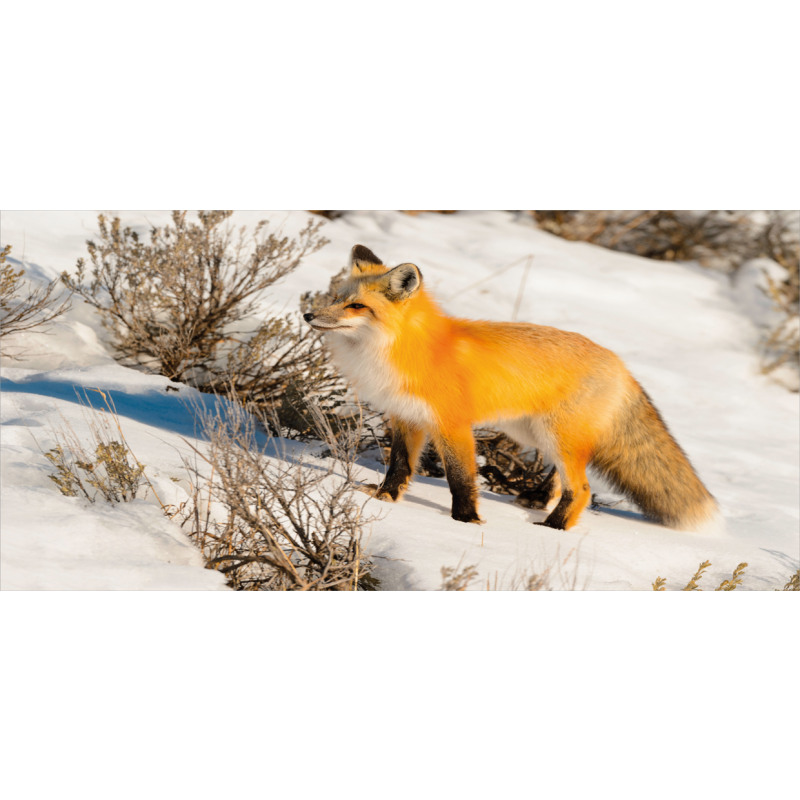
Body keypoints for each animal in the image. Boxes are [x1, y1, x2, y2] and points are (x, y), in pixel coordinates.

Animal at [306, 245, 720, 532]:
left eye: (357, 306)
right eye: (336, 298)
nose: (308, 314)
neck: (404, 350)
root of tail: (619, 363)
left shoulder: (453, 426)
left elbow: (461, 479)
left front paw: (466, 521)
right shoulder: (406, 416)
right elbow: (399, 466)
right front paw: (385, 498)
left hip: (556, 435)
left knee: (583, 488)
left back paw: (553, 529)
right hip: (535, 433)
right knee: (565, 479)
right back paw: (538, 499)